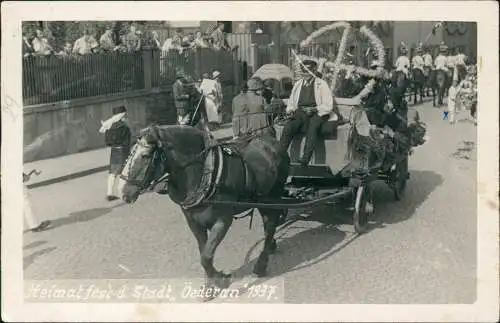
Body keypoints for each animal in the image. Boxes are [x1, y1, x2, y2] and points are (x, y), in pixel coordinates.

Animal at [120, 123, 290, 294]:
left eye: (145, 155)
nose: (125, 193)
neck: (207, 172)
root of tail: (273, 143)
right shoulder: (194, 223)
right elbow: (204, 253)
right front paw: (210, 285)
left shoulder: (222, 221)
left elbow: (206, 257)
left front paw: (221, 279)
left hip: (273, 196)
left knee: (270, 226)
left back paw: (261, 264)